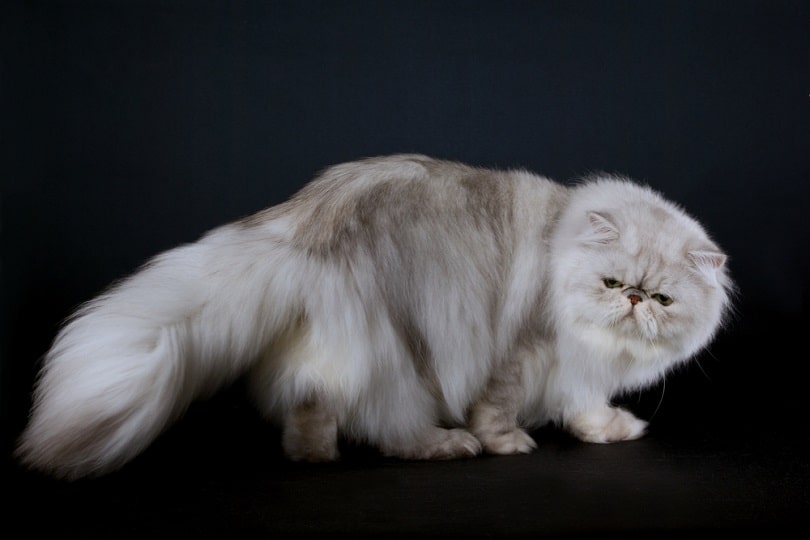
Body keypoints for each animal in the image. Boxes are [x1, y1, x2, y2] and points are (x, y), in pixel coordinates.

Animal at [14, 154, 732, 478]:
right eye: (613, 282)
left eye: (662, 300)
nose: (633, 300)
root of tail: (303, 218)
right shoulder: (525, 352)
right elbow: (500, 409)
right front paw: (508, 444)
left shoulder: (576, 372)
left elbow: (584, 409)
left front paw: (608, 431)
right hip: (404, 358)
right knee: (387, 428)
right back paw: (444, 445)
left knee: (309, 400)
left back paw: (313, 455)